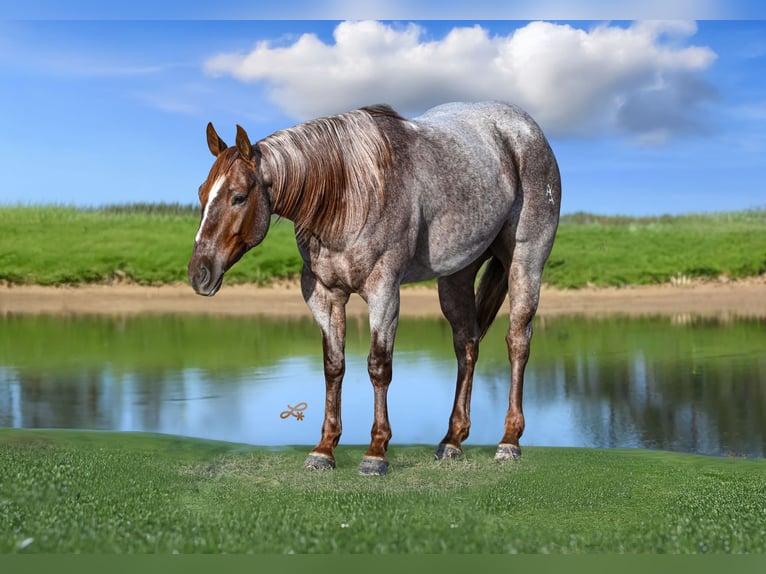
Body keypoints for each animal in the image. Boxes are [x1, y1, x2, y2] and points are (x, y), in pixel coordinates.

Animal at [188, 101, 561, 476]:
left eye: (238, 197)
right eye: (202, 192)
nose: (199, 273)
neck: (348, 193)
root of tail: (525, 128)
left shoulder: (384, 291)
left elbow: (379, 366)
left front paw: (376, 452)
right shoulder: (324, 296)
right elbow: (334, 366)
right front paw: (324, 449)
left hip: (526, 262)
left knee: (517, 342)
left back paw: (509, 441)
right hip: (456, 275)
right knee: (466, 346)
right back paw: (452, 441)